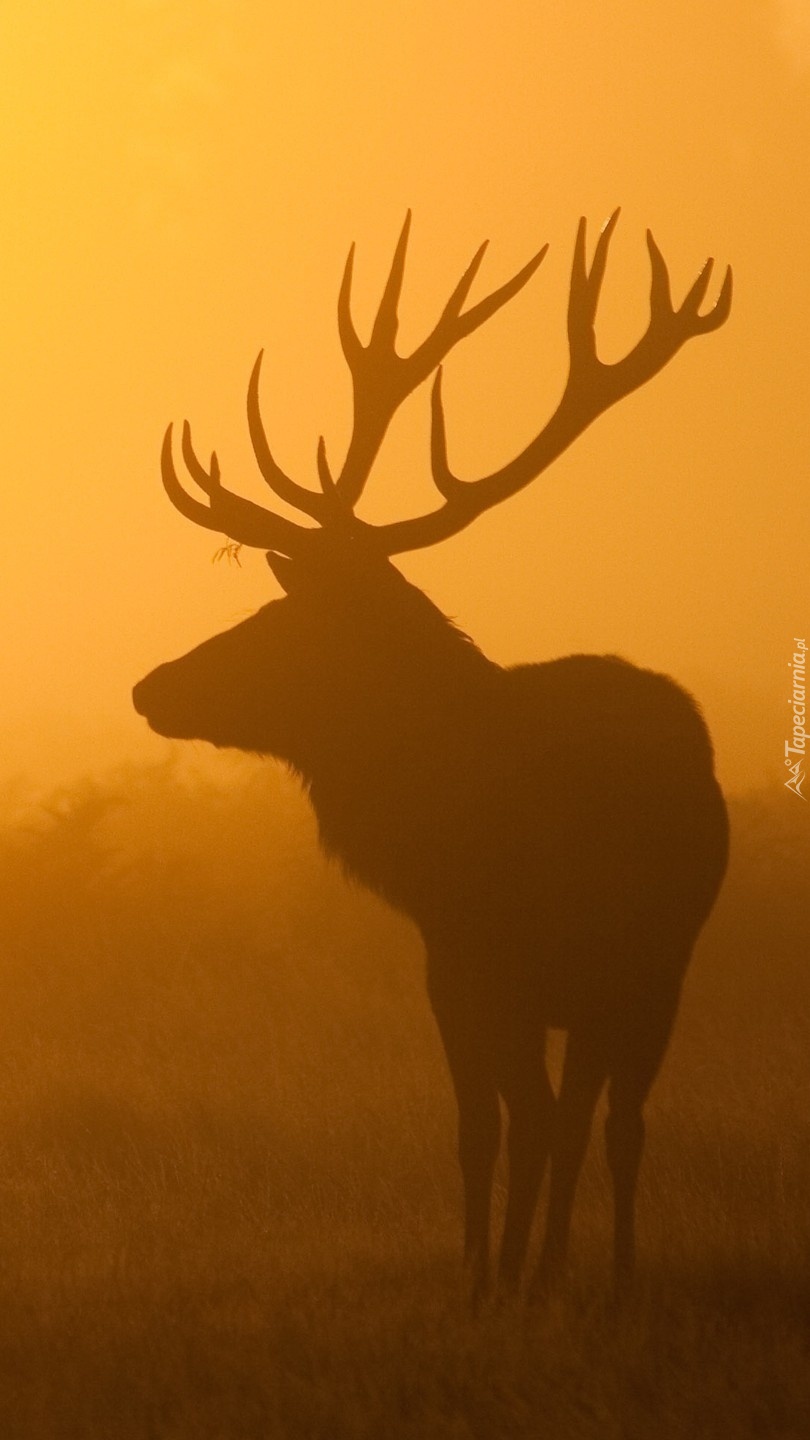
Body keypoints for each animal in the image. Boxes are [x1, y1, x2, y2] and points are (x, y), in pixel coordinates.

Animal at [134, 213, 732, 1307]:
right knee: (592, 1120)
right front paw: (496, 1273)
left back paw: (577, 1274)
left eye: (284, 622)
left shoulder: (500, 965)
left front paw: (502, 1280)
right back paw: (585, 1269)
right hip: (621, 979)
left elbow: (513, 1126)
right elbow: (501, 1128)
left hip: (627, 968)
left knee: (592, 1121)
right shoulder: (484, 972)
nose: (152, 686)